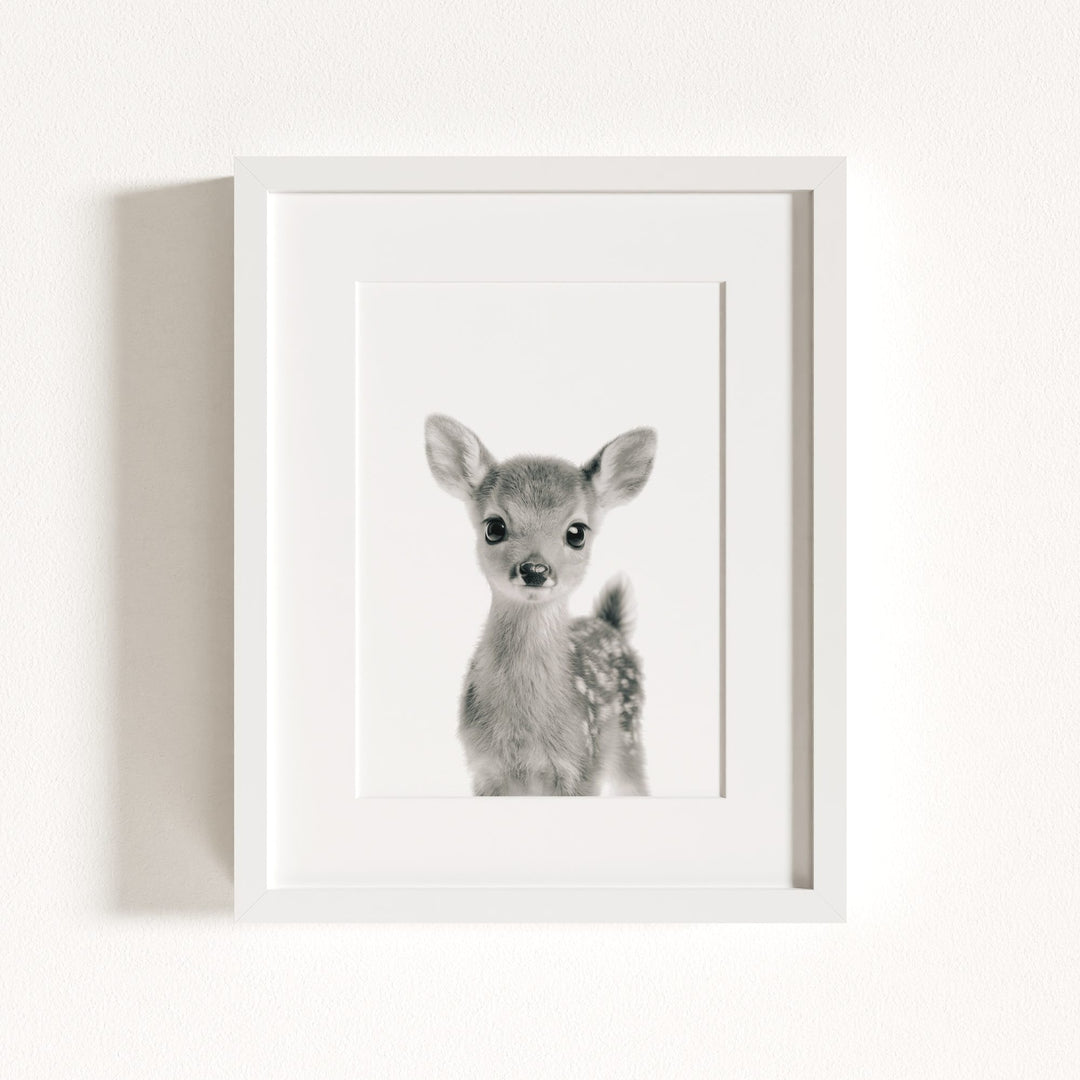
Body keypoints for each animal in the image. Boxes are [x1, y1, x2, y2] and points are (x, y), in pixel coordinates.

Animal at [424, 414, 657, 796]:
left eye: (577, 532)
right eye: (494, 527)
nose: (535, 570)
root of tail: (610, 624)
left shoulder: (582, 766)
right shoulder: (484, 769)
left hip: (629, 738)